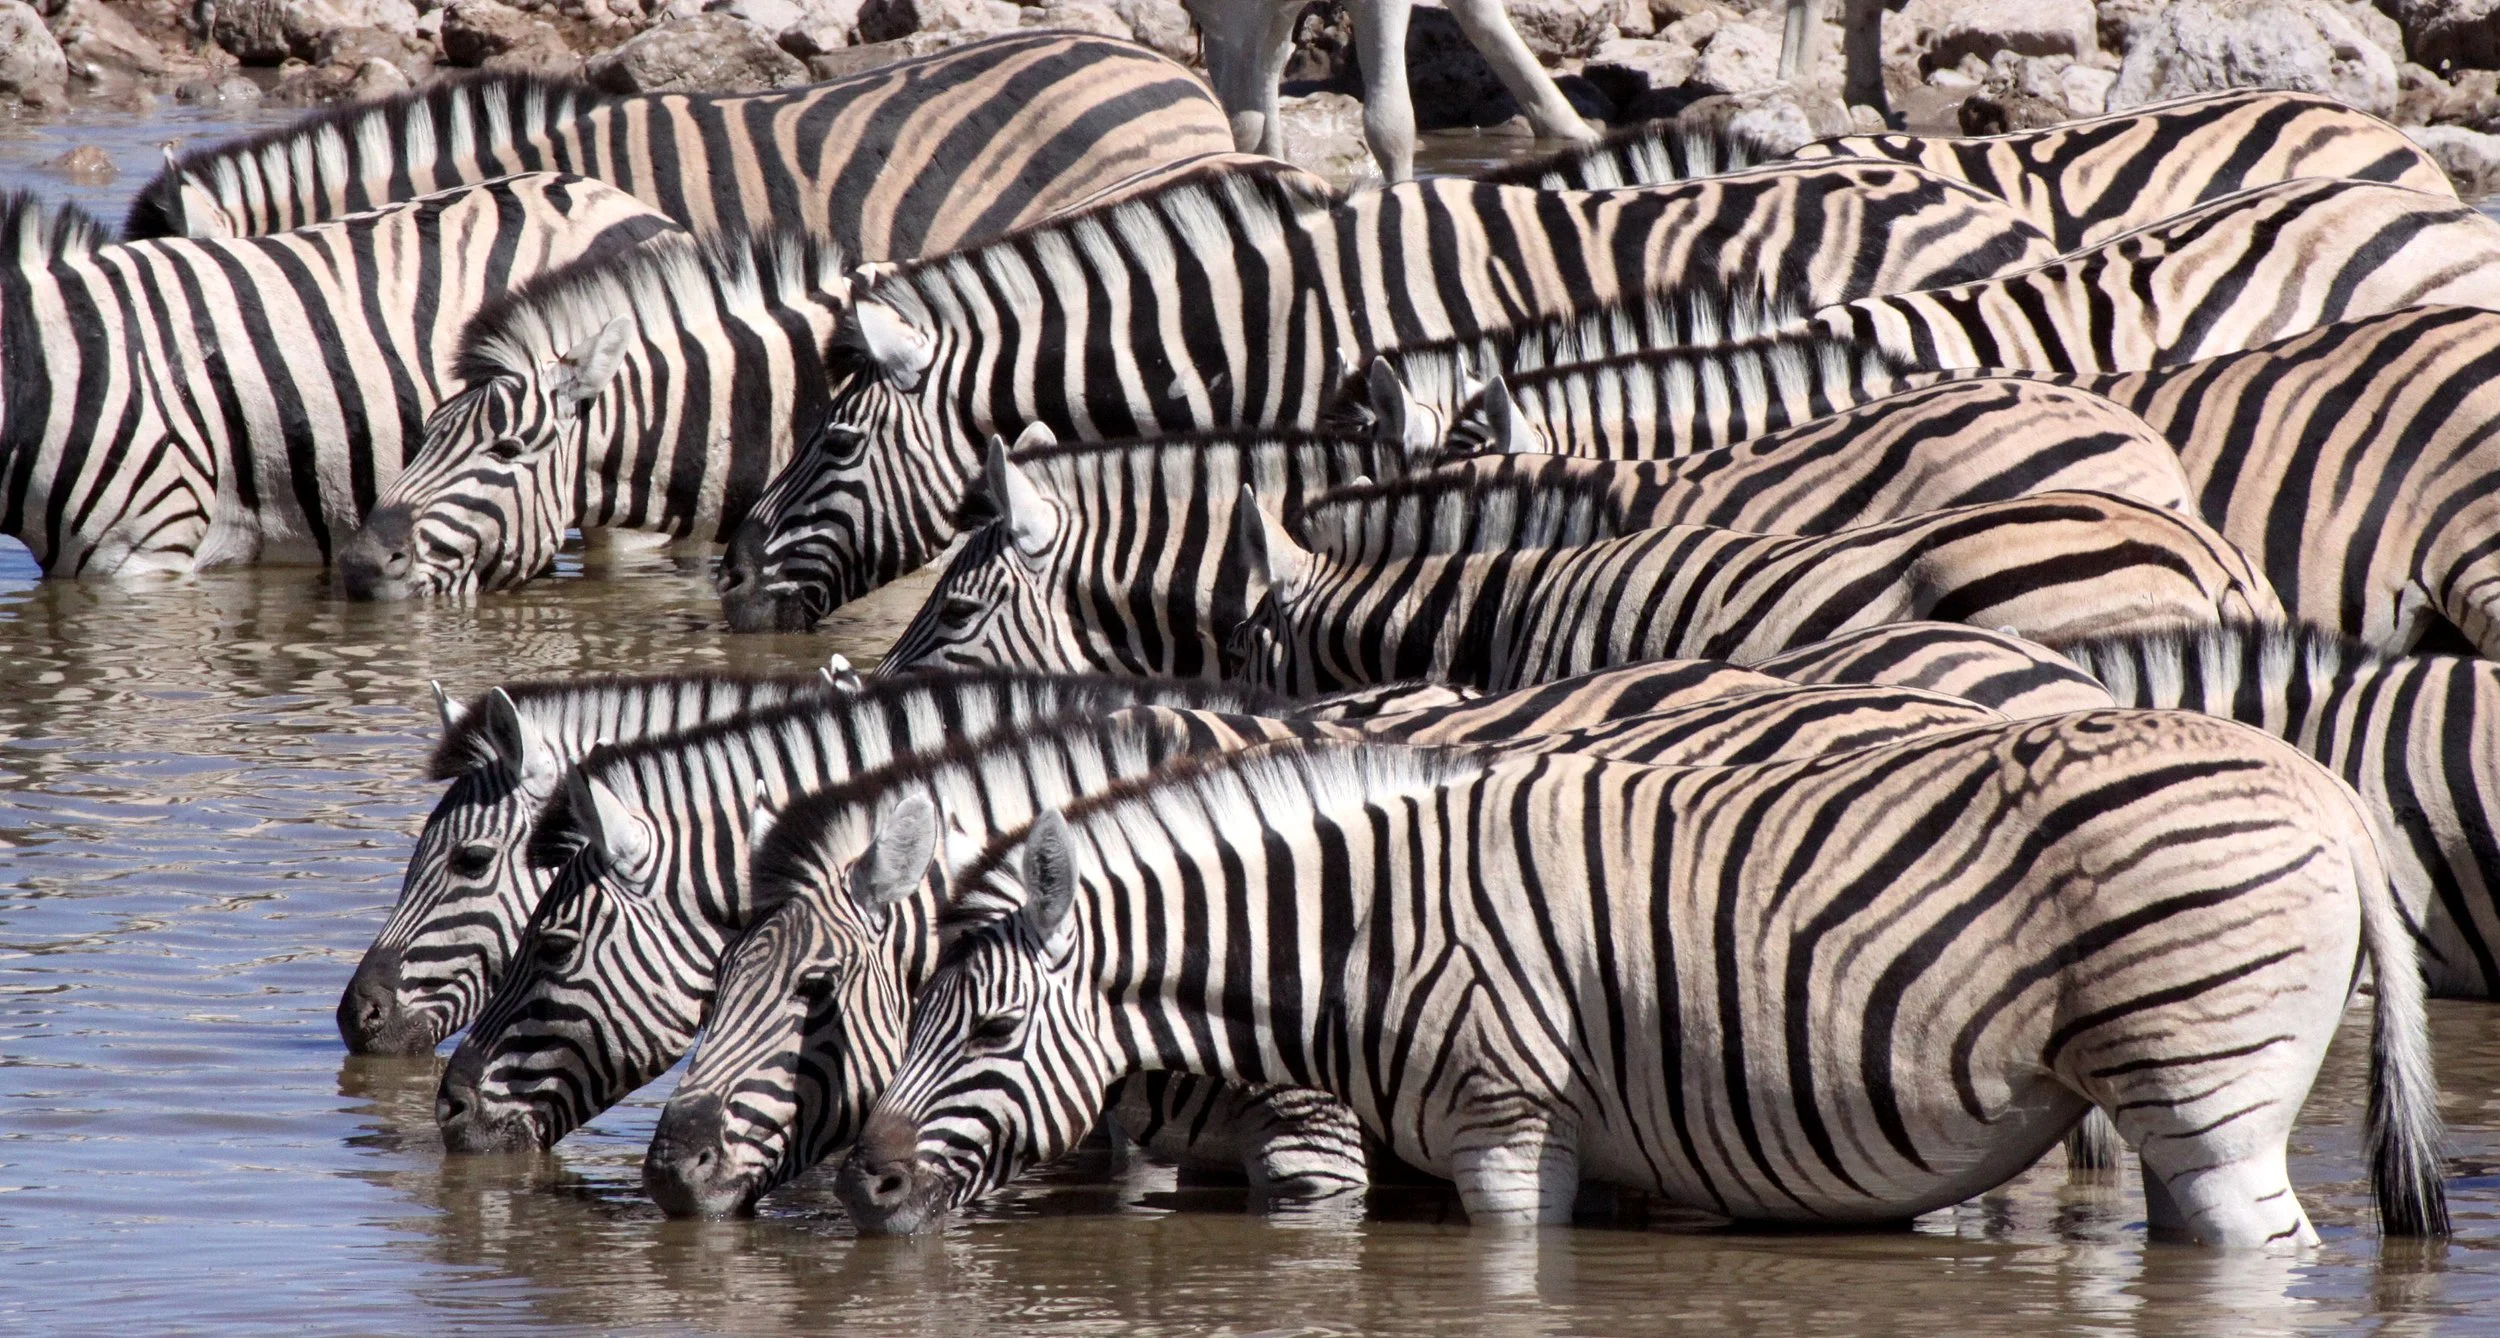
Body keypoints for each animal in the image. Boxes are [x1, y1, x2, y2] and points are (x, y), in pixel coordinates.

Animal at [837, 720, 2446, 1245]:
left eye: (988, 1024)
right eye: (909, 1011)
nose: (866, 1188)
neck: (1367, 925)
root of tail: (2320, 786)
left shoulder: (1506, 1127)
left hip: (2209, 1093)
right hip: (2171, 1111)